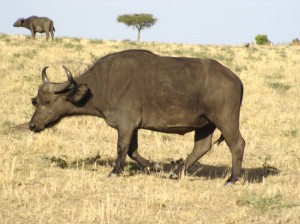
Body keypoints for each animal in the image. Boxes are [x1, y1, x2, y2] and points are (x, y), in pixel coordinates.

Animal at [28, 50, 245, 185]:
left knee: (237, 145)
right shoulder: (133, 127)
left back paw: (232, 179)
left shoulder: (126, 124)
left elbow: (122, 147)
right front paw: (155, 166)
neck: (104, 84)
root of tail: (235, 79)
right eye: (35, 101)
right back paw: (175, 172)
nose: (32, 125)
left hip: (226, 120)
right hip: (205, 124)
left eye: (47, 102)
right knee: (202, 147)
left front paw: (114, 171)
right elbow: (133, 150)